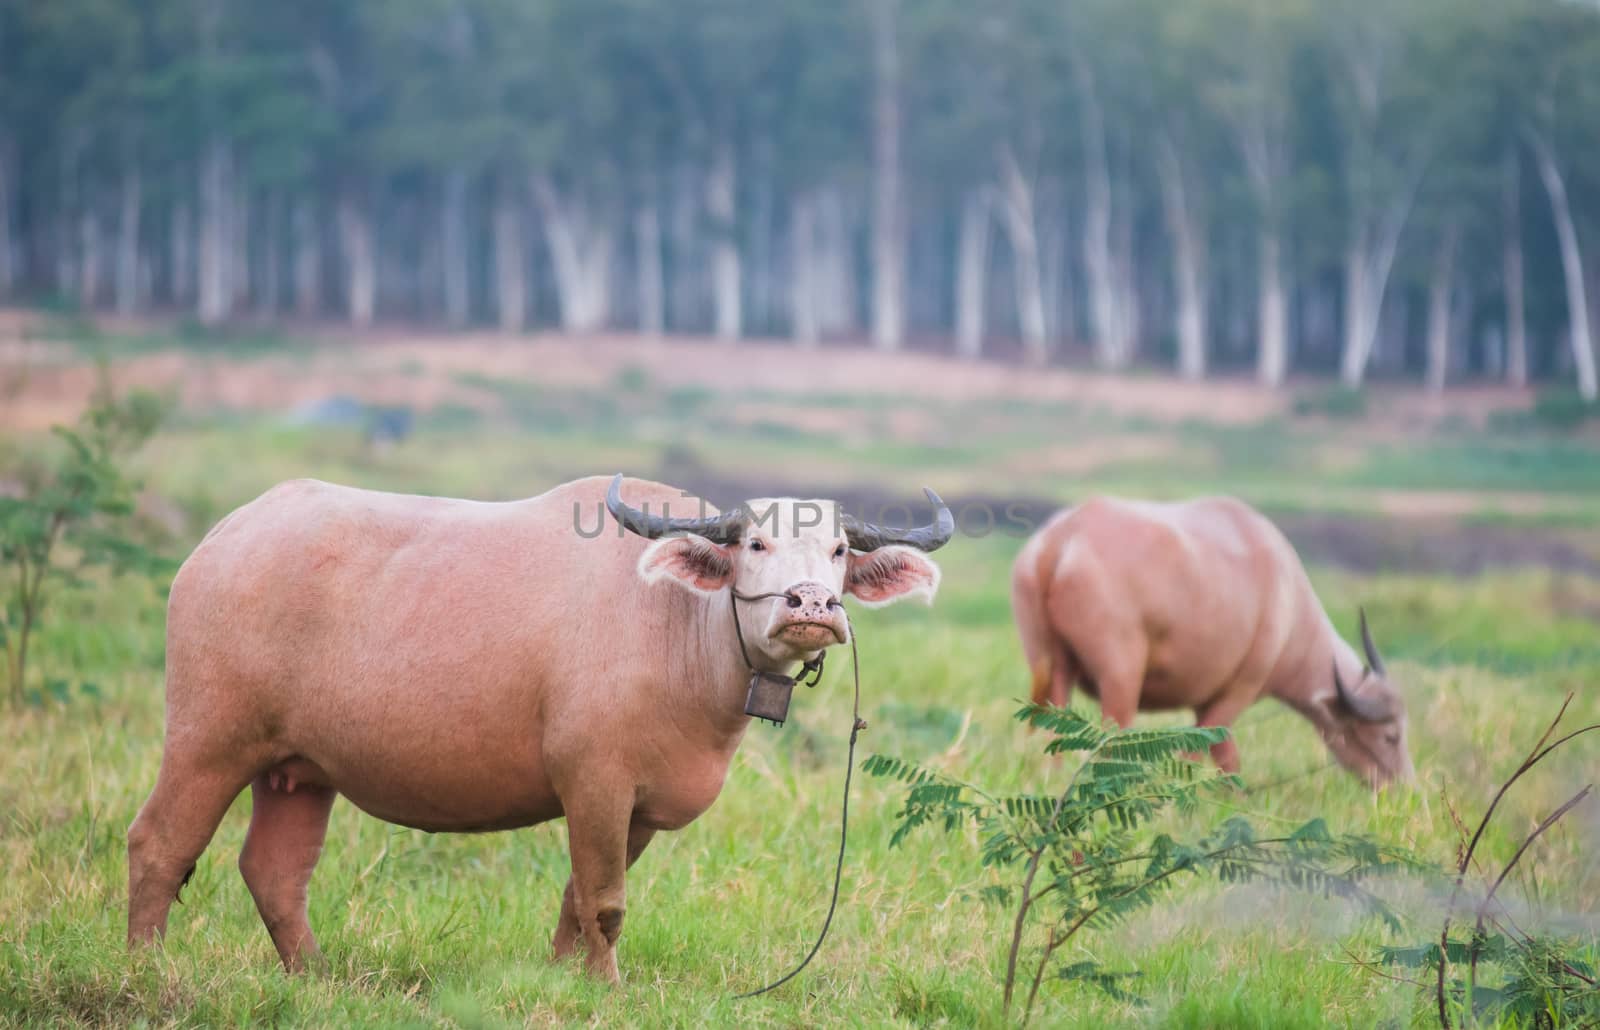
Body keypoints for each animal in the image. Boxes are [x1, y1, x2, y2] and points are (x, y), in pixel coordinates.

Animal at [131, 473, 947, 978]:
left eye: (837, 550)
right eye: (756, 544)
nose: (812, 605)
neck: (677, 623)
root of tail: (226, 535)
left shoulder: (635, 807)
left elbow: (576, 900)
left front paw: (565, 980)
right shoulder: (594, 783)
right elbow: (605, 903)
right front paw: (609, 989)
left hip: (298, 770)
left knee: (275, 873)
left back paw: (316, 977)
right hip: (208, 742)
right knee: (160, 845)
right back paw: (147, 968)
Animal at [1011, 495, 1414, 783]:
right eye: (1391, 735)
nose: (1403, 790)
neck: (1286, 596)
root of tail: (1060, 540)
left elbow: (1225, 758)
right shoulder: (1237, 693)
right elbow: (1209, 749)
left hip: (1051, 668)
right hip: (1120, 677)